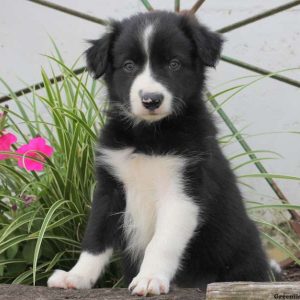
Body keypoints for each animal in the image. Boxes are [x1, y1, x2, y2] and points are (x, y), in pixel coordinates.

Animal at [47, 11, 274, 296]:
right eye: (129, 65)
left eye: (174, 64)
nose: (151, 100)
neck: (149, 136)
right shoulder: (110, 187)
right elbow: (95, 237)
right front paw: (76, 276)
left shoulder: (183, 190)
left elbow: (161, 242)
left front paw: (150, 278)